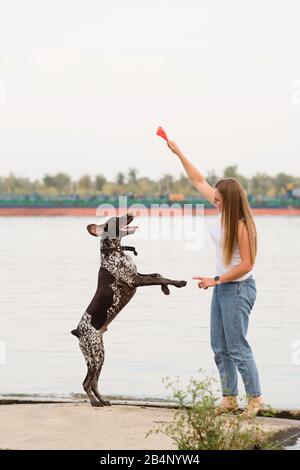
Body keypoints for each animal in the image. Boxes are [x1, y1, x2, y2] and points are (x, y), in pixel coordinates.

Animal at [71, 214, 186, 408]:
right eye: (117, 218)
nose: (131, 214)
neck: (113, 252)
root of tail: (77, 331)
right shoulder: (134, 280)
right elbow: (161, 277)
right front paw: (178, 283)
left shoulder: (138, 276)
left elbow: (157, 274)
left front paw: (166, 289)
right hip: (94, 355)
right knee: (86, 382)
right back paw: (94, 402)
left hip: (100, 355)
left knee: (94, 382)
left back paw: (102, 400)